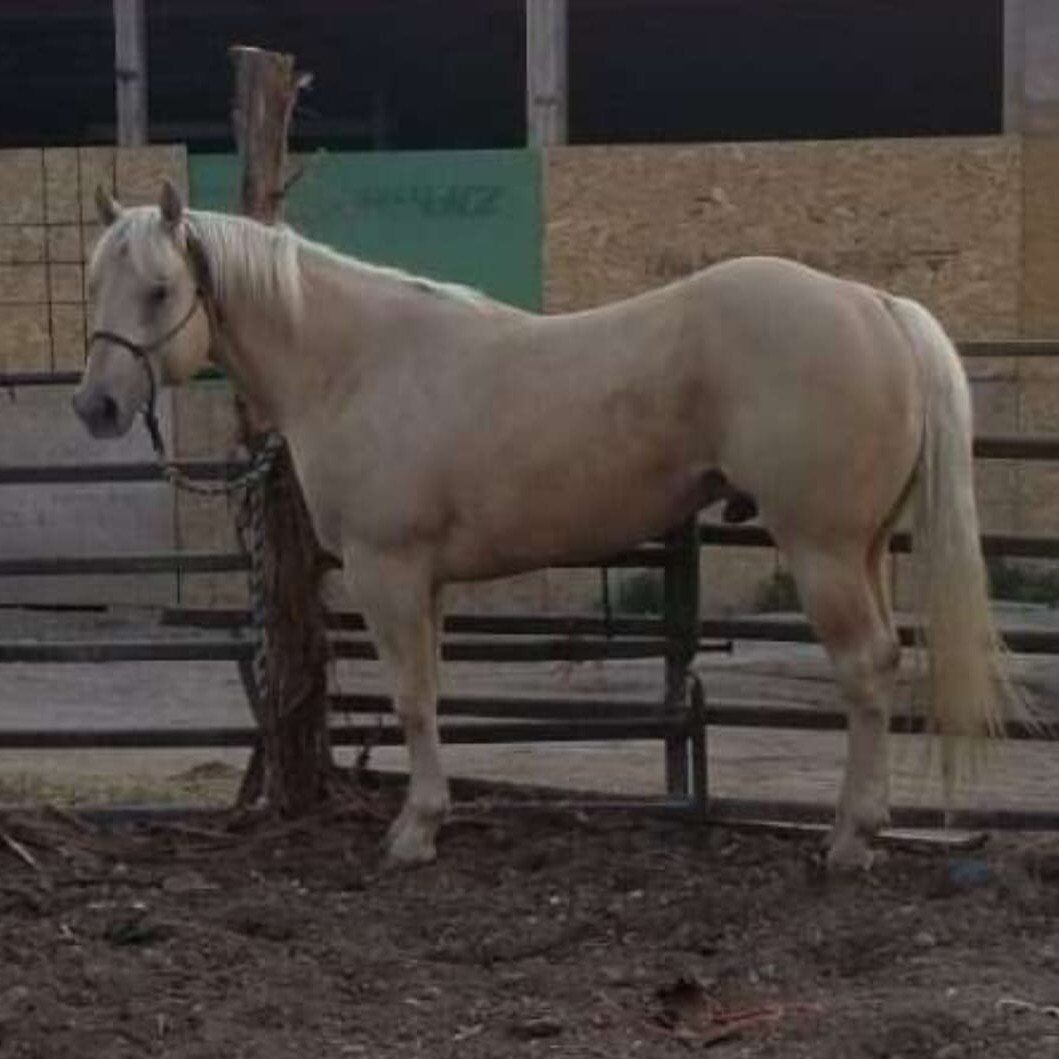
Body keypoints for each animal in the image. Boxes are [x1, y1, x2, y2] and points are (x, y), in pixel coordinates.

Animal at [73, 180, 1016, 871]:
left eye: (160, 289)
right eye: (94, 283)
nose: (96, 407)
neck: (356, 362)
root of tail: (874, 302)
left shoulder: (387, 570)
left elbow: (410, 696)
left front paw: (413, 832)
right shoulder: (427, 581)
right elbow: (431, 693)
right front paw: (429, 816)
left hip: (820, 550)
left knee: (863, 669)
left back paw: (848, 842)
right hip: (862, 548)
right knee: (883, 665)